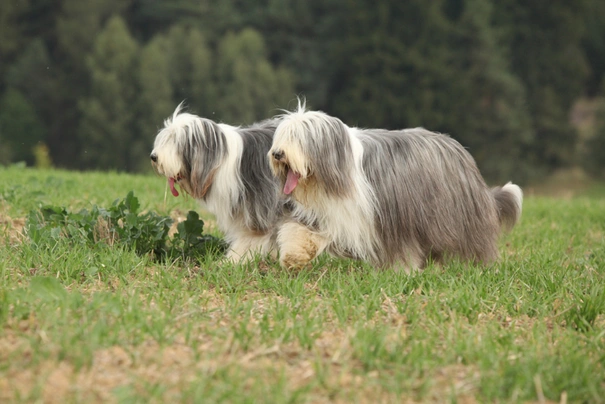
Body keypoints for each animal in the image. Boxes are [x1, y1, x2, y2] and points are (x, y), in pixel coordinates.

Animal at [150, 104, 284, 260]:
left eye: (176, 141)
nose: (153, 157)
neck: (218, 162)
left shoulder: (259, 208)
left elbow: (252, 237)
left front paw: (235, 259)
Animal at [266, 101, 520, 272]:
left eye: (299, 137)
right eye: (282, 136)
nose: (277, 154)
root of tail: (458, 149)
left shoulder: (390, 217)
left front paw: (402, 271)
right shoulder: (328, 212)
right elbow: (301, 232)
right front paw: (293, 256)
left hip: (455, 215)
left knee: (474, 242)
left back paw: (479, 266)